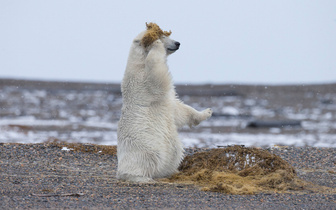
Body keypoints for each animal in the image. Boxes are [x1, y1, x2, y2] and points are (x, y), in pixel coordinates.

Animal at [117, 23, 213, 182]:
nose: (178, 43)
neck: (138, 63)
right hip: (142, 149)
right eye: (163, 36)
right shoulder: (141, 80)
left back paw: (172, 171)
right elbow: (156, 75)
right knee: (142, 163)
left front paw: (207, 112)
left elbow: (179, 109)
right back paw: (142, 178)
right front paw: (156, 44)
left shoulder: (168, 101)